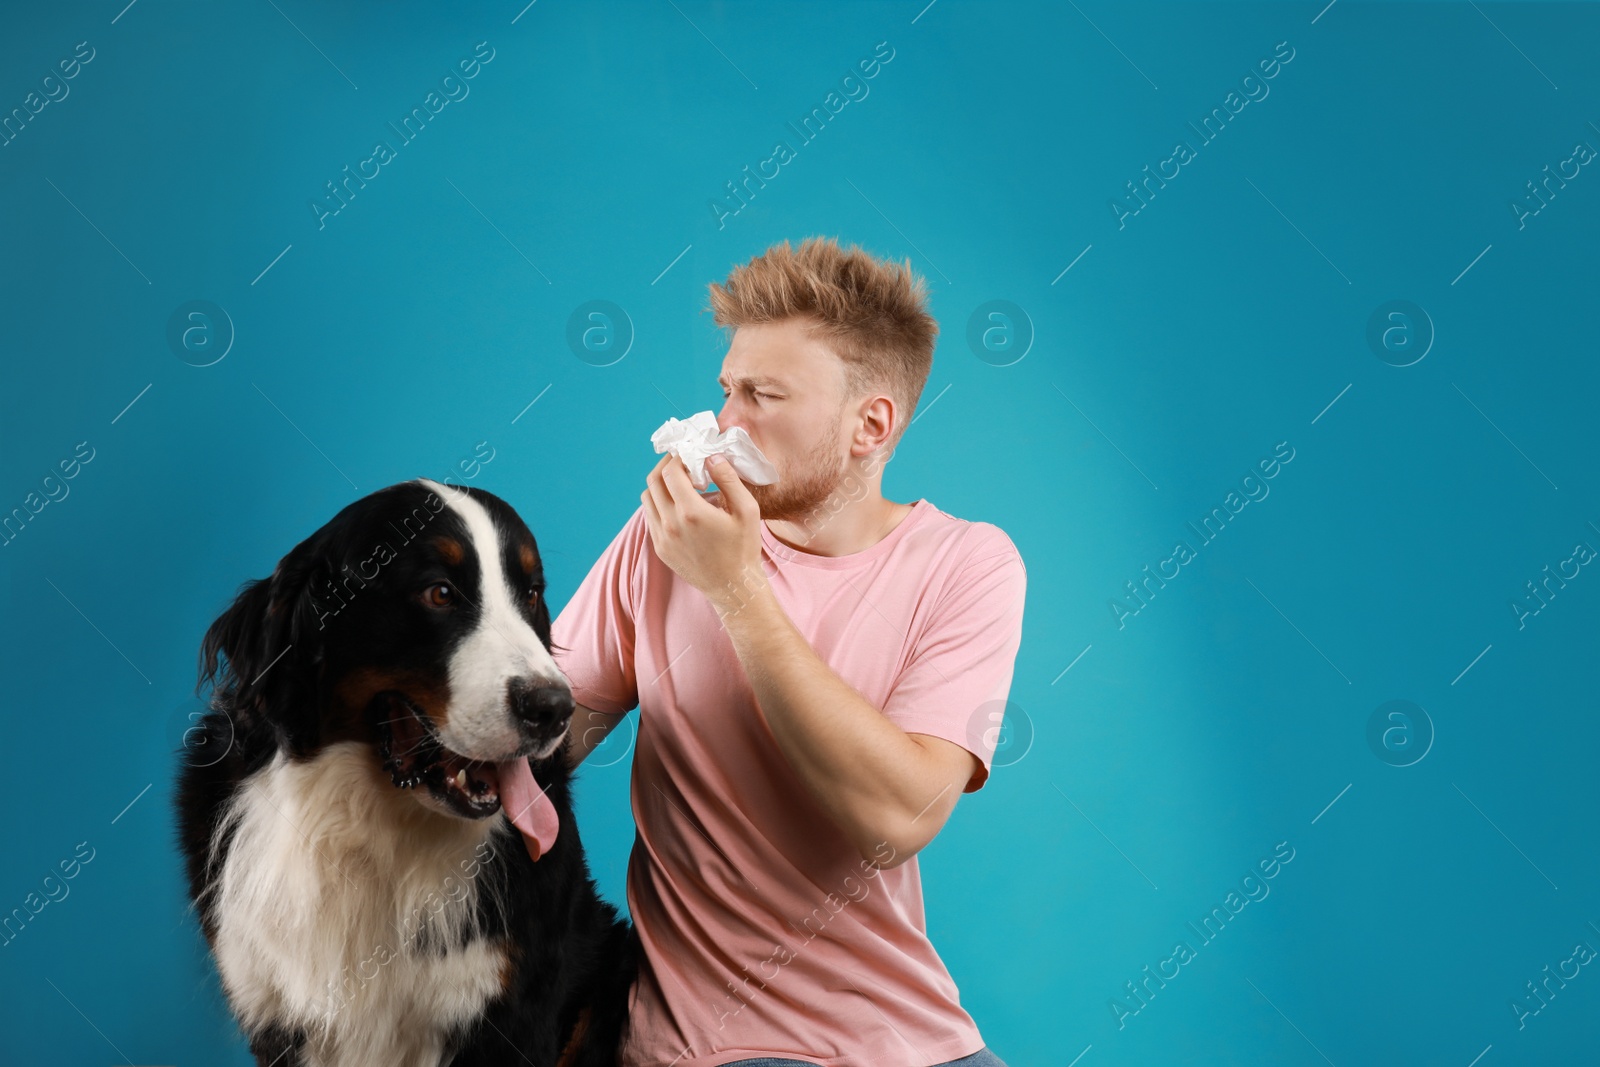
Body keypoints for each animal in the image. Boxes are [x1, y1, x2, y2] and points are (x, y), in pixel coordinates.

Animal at [176, 479, 636, 1067]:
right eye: (439, 593)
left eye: (531, 594)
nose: (554, 708)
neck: (369, 827)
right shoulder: (274, 1009)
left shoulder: (510, 1012)